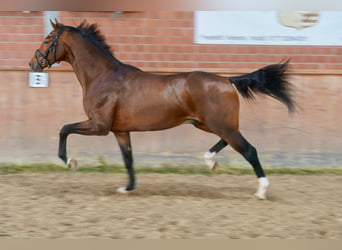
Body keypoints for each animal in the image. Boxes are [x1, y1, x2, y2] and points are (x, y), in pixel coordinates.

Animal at [30, 20, 296, 199]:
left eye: (47, 39)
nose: (33, 63)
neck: (102, 77)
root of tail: (226, 80)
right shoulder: (120, 130)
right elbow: (128, 158)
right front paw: (128, 187)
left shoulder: (99, 125)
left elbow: (64, 129)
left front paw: (69, 162)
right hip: (208, 123)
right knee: (230, 142)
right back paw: (210, 162)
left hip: (218, 124)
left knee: (248, 149)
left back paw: (261, 190)